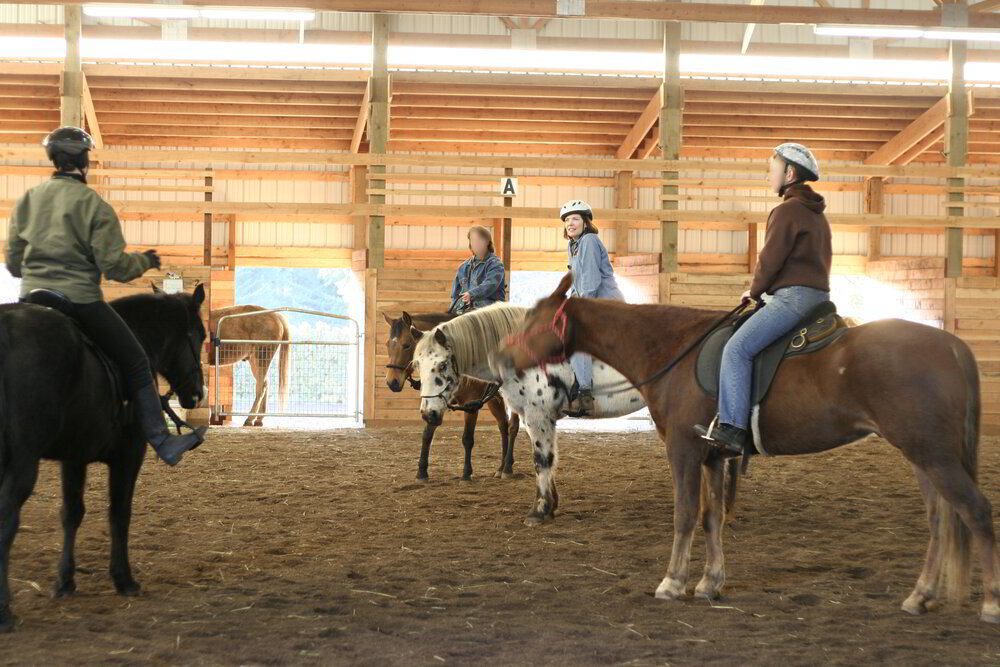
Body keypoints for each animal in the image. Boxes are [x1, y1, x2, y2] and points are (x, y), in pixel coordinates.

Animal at [0, 285, 208, 632]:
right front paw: (123, 579)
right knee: (6, 519)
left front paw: (65, 581)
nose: (197, 393)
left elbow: (72, 514)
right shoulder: (129, 455)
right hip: (22, 464)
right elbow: (119, 513)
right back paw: (4, 611)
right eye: (201, 335)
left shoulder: (73, 458)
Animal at [384, 311, 519, 480]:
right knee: (503, 425)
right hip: (495, 399)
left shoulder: (471, 403)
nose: (392, 382)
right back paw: (501, 467)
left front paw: (466, 473)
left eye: (407, 345)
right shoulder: (434, 401)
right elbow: (427, 434)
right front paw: (422, 471)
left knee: (513, 427)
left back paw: (507, 467)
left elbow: (467, 438)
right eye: (387, 344)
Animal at [408, 303, 701, 526]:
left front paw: (538, 511)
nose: (428, 414)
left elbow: (542, 460)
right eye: (417, 364)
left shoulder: (538, 415)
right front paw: (551, 504)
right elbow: (547, 458)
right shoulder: (535, 417)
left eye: (442, 365)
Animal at [491, 273, 999, 623]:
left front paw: (672, 582)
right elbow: (712, 518)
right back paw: (921, 595)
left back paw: (990, 603)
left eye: (533, 320)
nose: (499, 357)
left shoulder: (684, 452)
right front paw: (710, 583)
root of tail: (953, 346)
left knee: (975, 511)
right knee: (941, 520)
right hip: (924, 457)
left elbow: (685, 514)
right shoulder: (714, 456)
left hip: (933, 456)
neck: (673, 349)